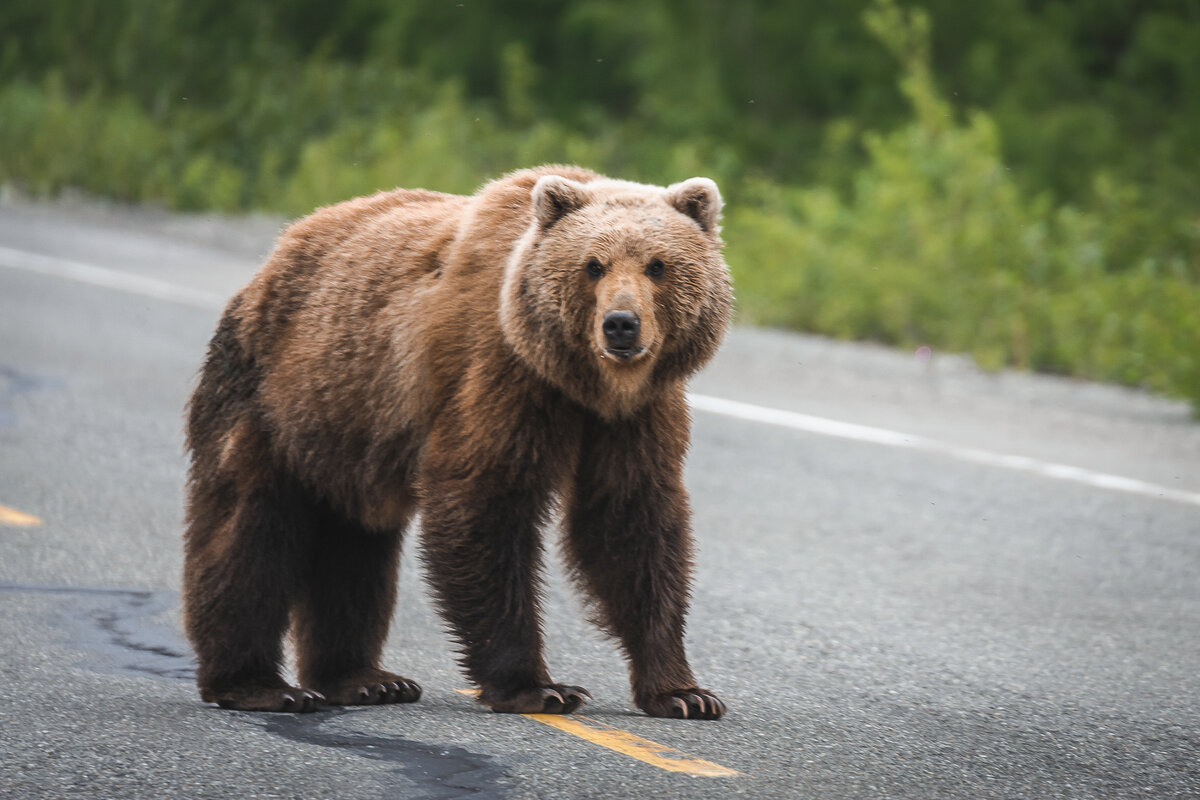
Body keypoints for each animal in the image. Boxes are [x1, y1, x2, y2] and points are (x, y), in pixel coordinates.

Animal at [183, 163, 734, 719]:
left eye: (658, 265)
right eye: (593, 266)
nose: (621, 325)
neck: (583, 385)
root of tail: (269, 264)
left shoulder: (637, 417)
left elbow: (630, 522)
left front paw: (683, 692)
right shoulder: (499, 374)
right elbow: (484, 500)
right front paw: (537, 687)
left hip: (348, 436)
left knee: (356, 546)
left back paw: (365, 680)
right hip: (273, 399)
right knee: (249, 530)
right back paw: (260, 685)